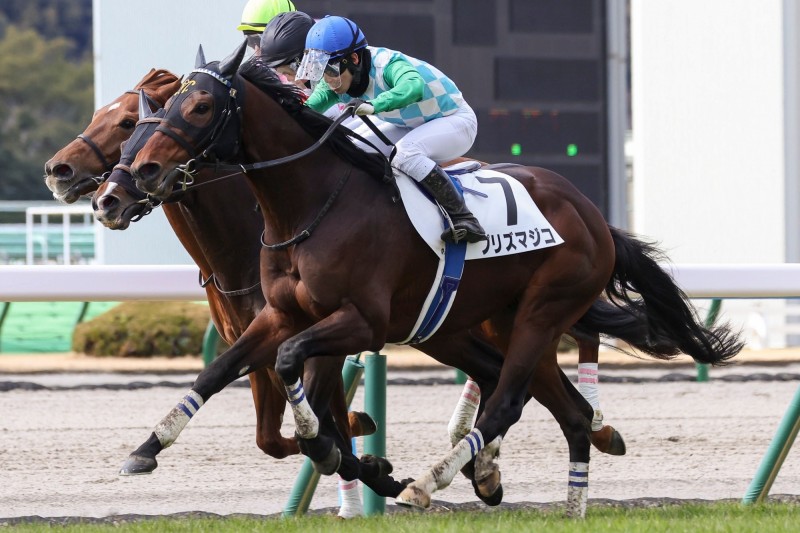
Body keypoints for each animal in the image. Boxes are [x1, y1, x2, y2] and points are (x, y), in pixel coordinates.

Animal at [126, 43, 742, 517]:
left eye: (201, 105)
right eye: (165, 104)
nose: (143, 171)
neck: (309, 206)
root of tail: (592, 215)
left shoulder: (361, 322)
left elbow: (290, 366)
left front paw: (328, 448)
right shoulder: (280, 314)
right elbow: (219, 371)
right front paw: (148, 446)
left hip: (543, 311)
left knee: (510, 399)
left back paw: (429, 482)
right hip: (493, 322)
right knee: (566, 411)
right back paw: (555, 501)